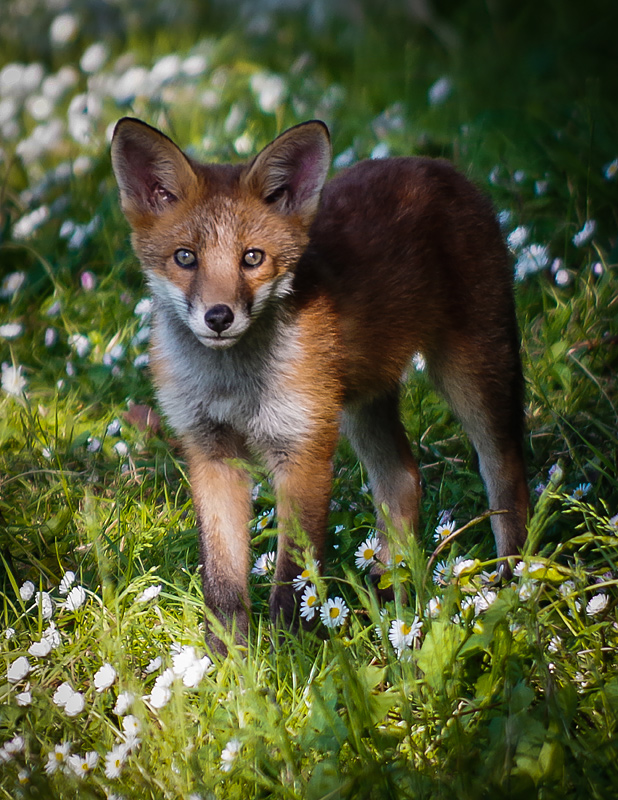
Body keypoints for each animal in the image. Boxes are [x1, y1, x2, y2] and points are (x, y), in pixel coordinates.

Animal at [111, 117, 529, 652]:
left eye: (252, 258)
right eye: (185, 257)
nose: (219, 317)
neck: (234, 386)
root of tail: (435, 164)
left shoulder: (303, 449)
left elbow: (294, 576)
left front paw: (291, 655)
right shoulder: (211, 452)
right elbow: (222, 580)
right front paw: (226, 658)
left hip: (468, 373)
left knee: (507, 473)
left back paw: (511, 586)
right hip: (360, 403)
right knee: (403, 479)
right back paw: (389, 594)